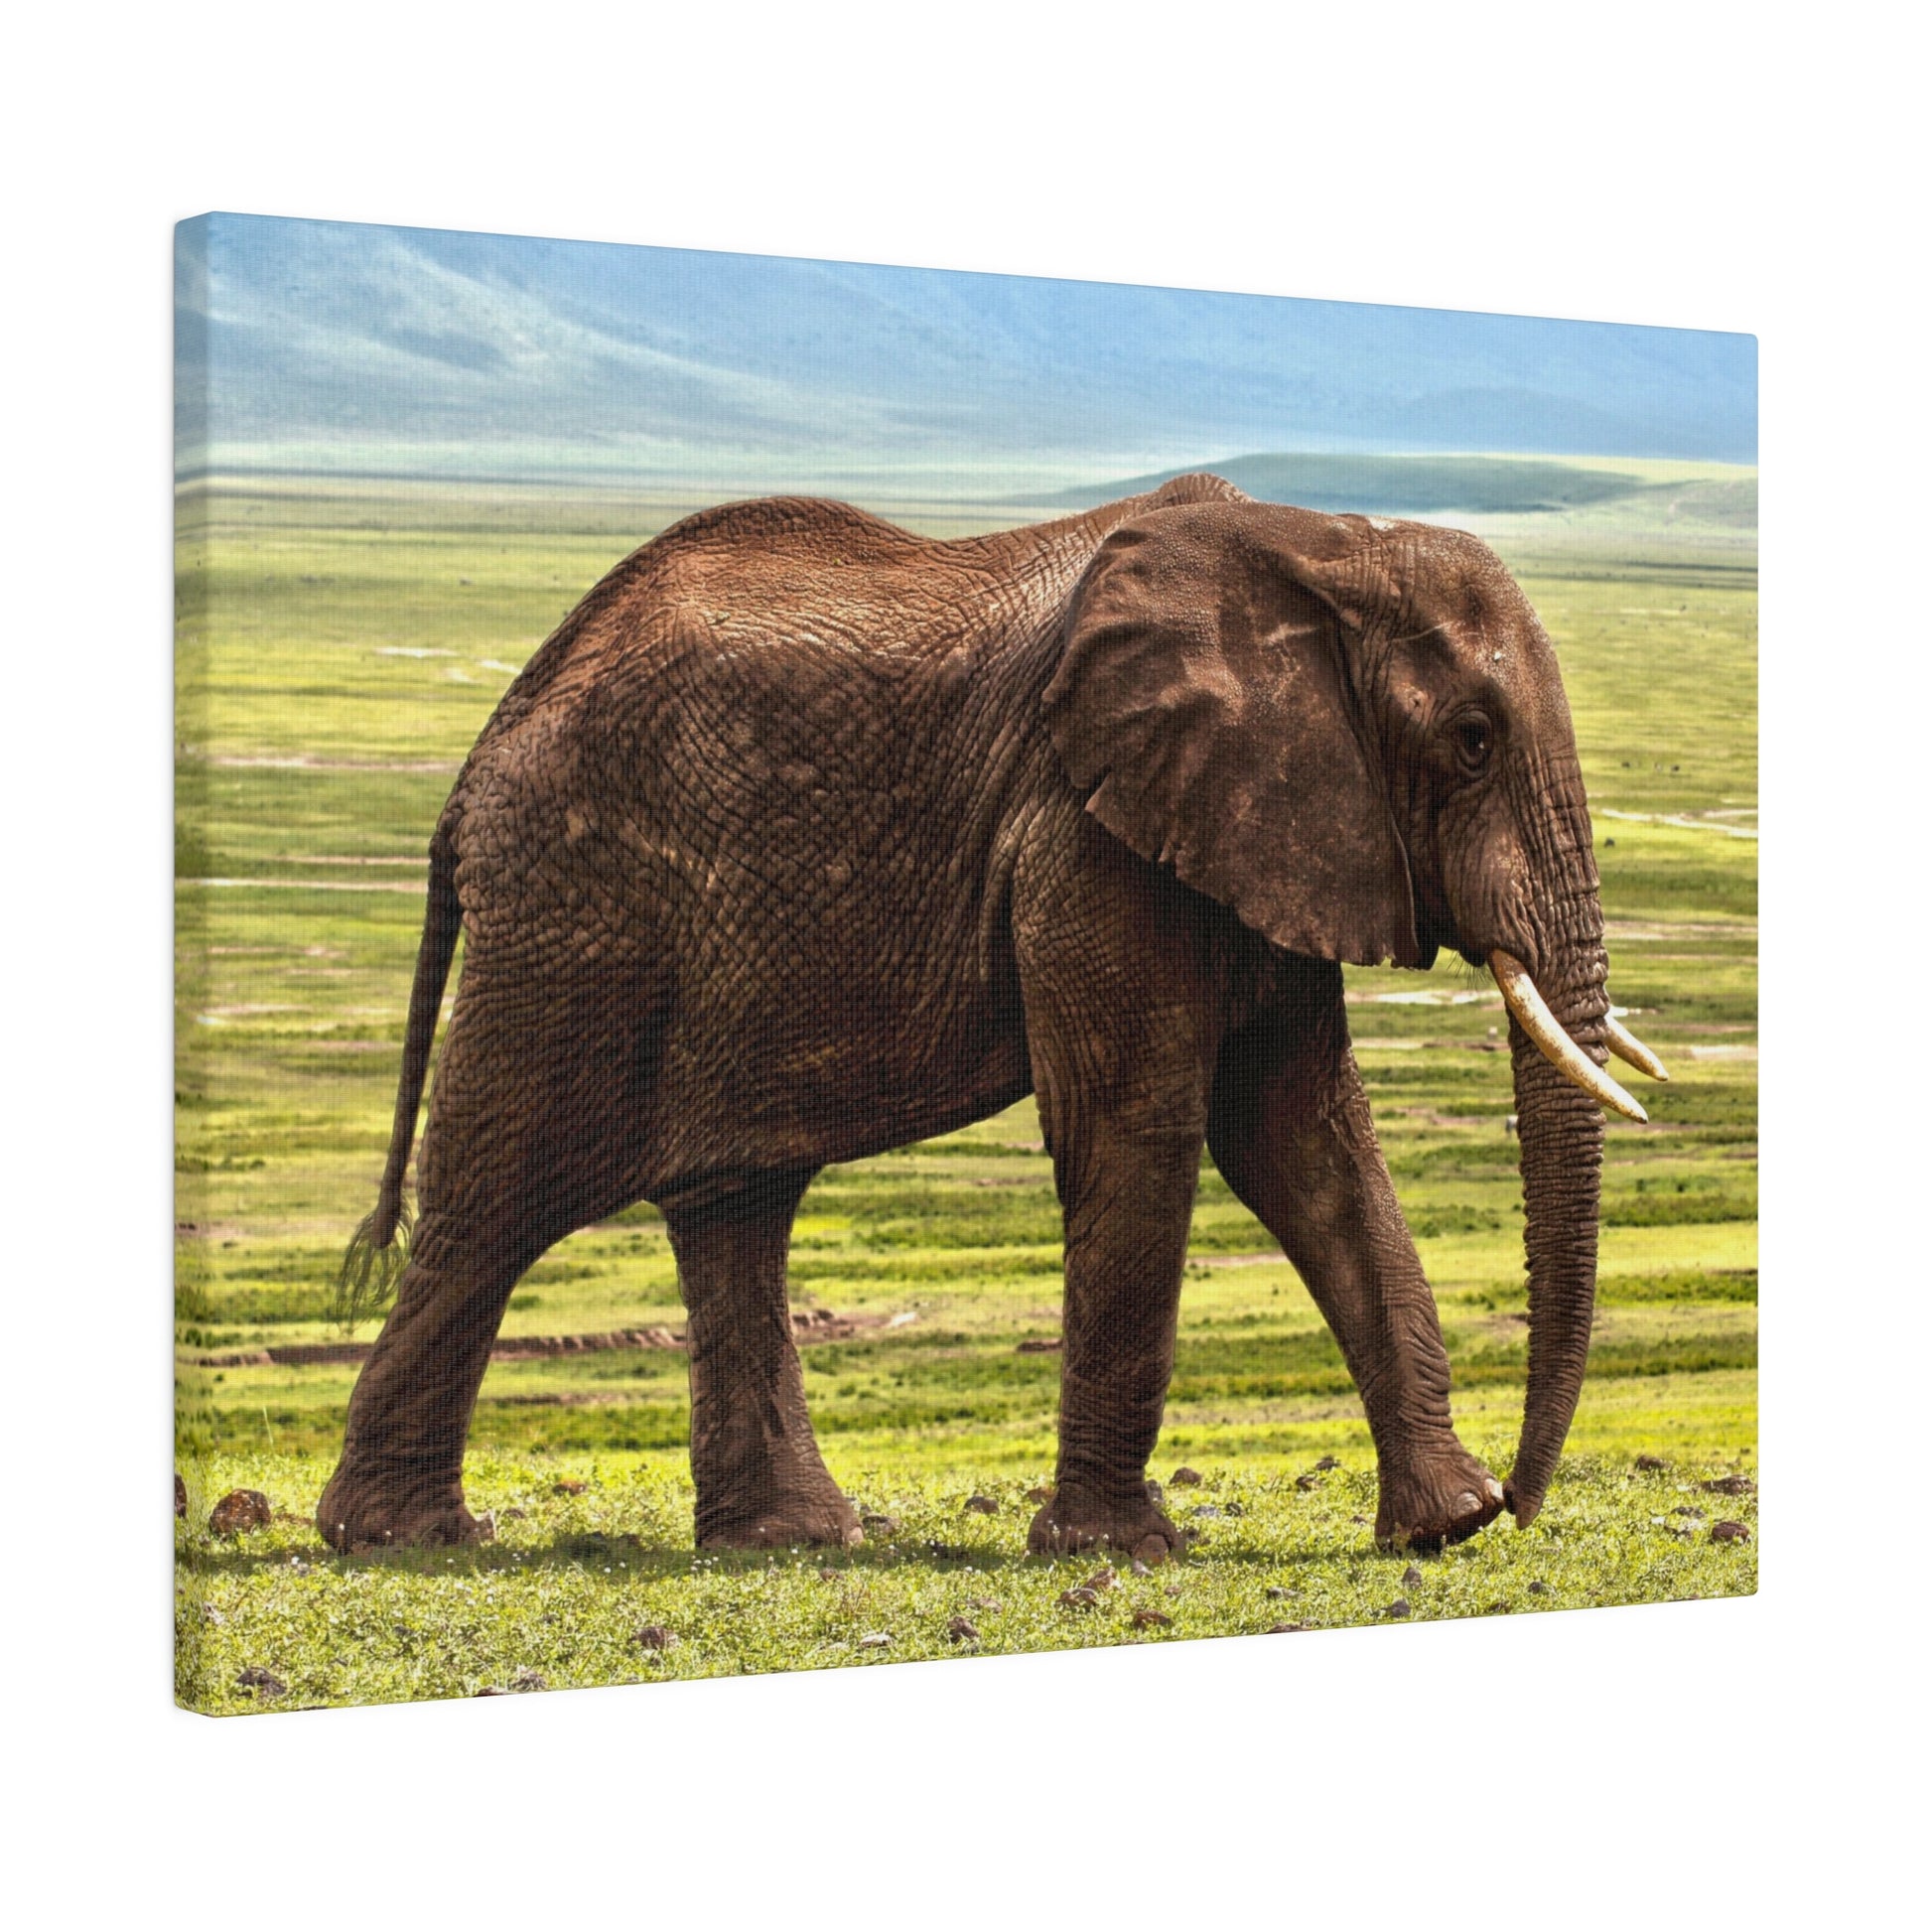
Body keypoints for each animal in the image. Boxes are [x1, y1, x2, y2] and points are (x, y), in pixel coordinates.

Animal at [316, 471, 1666, 1560]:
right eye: (1471, 740)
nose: (1526, 1502)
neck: (1319, 544)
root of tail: (481, 753)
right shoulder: (1084, 832)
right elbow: (1140, 1129)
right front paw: (1115, 1550)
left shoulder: (1265, 830)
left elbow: (1304, 1139)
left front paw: (1444, 1526)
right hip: (576, 915)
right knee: (500, 1200)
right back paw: (399, 1539)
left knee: (733, 1202)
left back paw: (789, 1540)